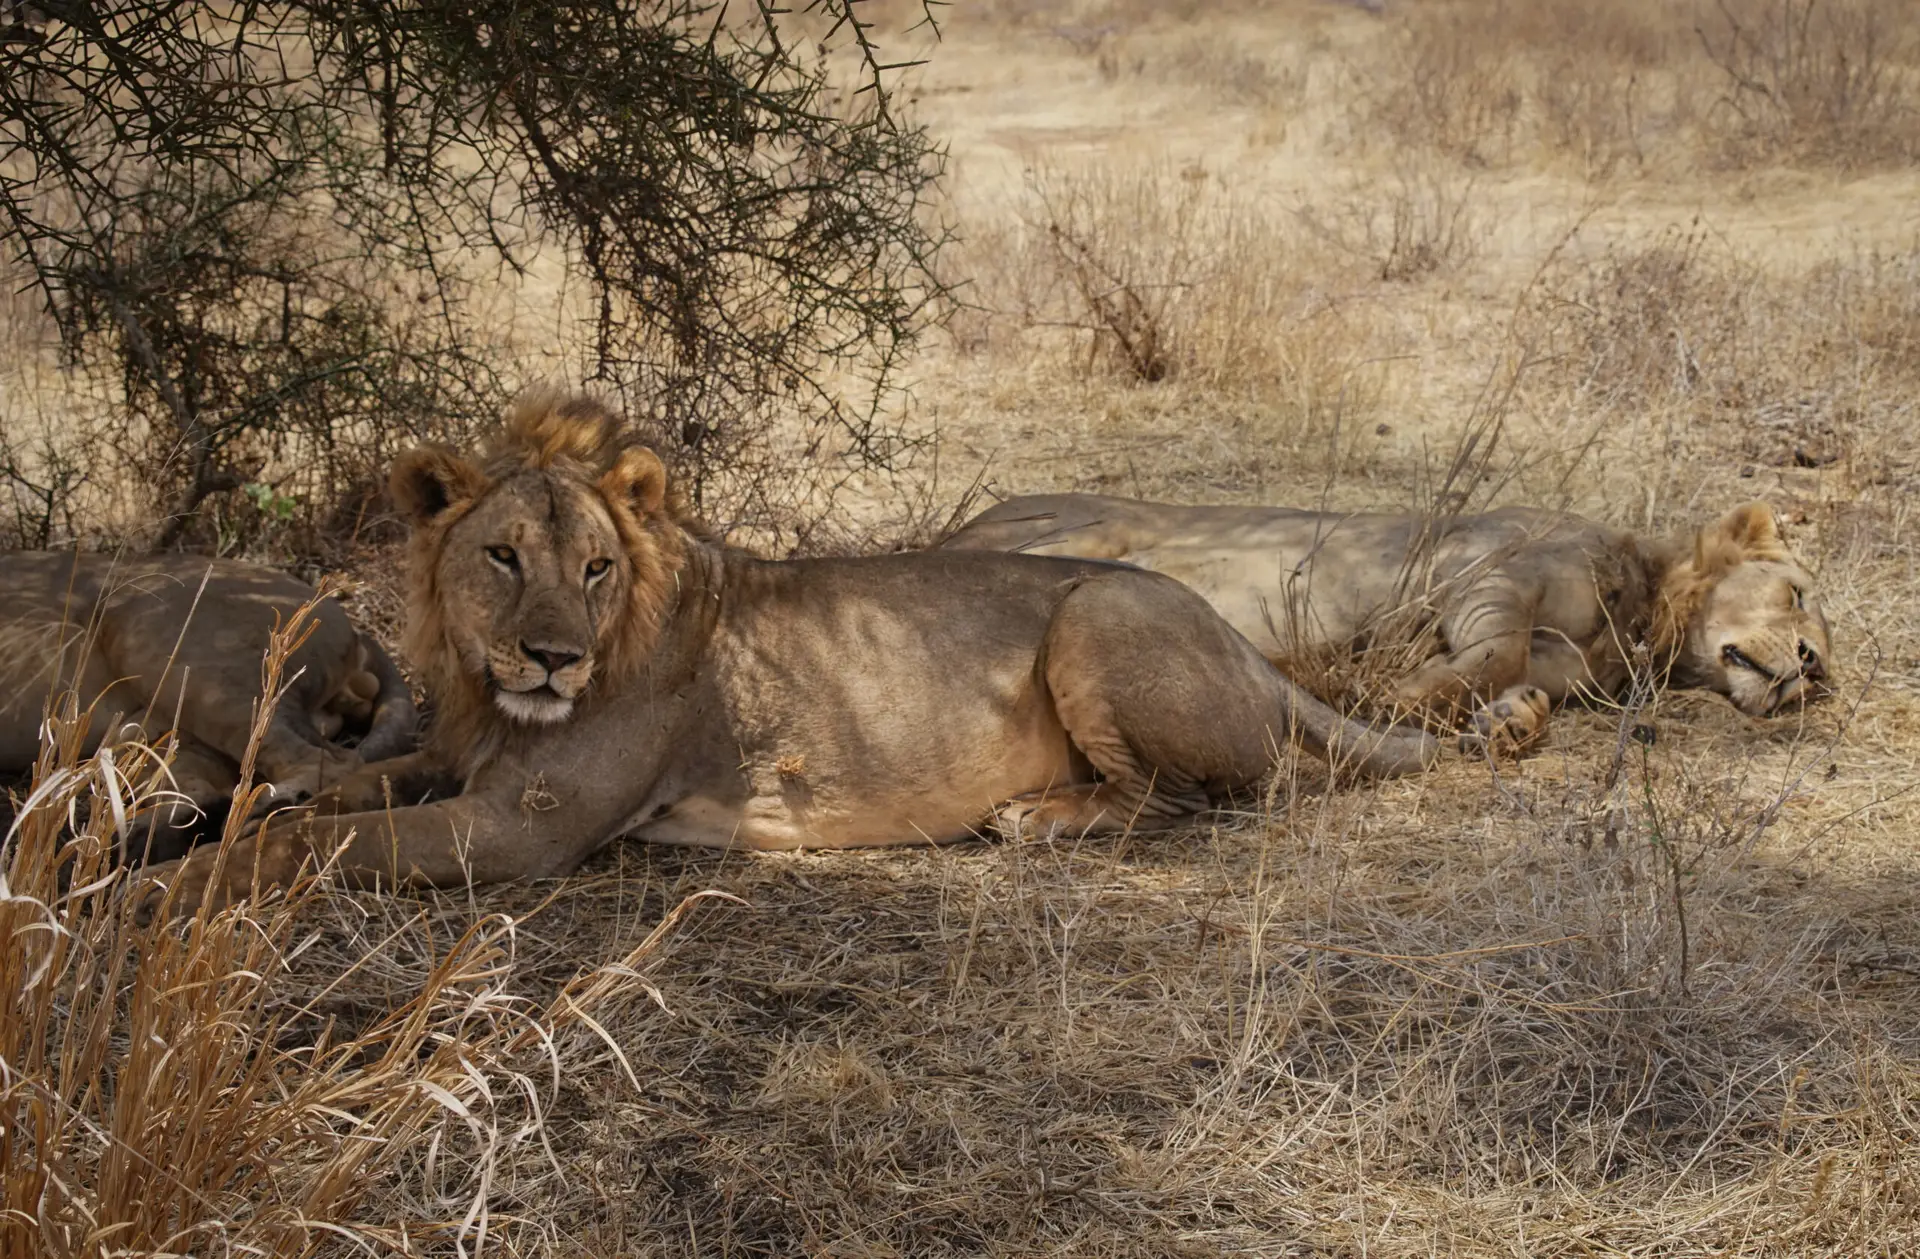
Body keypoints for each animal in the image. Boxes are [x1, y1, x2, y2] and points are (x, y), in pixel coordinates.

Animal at [0, 551, 418, 861]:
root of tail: (355, 628)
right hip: (144, 729)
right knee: (199, 789)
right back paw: (134, 844)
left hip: (180, 652)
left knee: (330, 760)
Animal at [134, 392, 1436, 918]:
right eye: (502, 556)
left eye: (594, 567)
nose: (553, 659)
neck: (494, 695)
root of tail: (1243, 644)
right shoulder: (459, 763)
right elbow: (339, 791)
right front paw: (204, 821)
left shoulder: (525, 828)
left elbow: (321, 843)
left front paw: (181, 882)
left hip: (1098, 614)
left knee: (1203, 795)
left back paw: (1042, 816)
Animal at [937, 492, 1831, 755]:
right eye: (1797, 593)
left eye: (1825, 671)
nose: (1811, 670)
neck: (1641, 621)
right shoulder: (1483, 569)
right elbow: (1491, 649)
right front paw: (1387, 693)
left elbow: (1514, 683)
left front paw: (1511, 722)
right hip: (1076, 538)